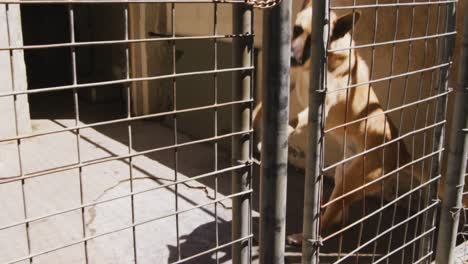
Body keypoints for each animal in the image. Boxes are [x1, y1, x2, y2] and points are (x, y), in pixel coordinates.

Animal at [254, 0, 430, 246]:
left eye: (314, 41)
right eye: (297, 30)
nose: (290, 59)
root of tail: (401, 153)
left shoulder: (320, 106)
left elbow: (294, 122)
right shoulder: (291, 83)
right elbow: (264, 105)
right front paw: (254, 116)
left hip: (351, 182)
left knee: (332, 214)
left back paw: (306, 236)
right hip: (342, 173)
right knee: (340, 214)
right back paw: (330, 219)